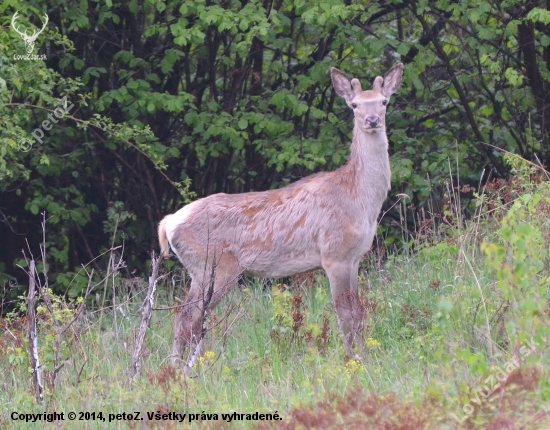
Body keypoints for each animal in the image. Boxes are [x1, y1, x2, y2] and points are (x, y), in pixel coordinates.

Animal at [160, 63, 406, 370]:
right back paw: (178, 370)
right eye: (355, 104)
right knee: (185, 317)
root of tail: (168, 223)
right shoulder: (334, 254)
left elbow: (358, 313)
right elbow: (345, 316)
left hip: (203, 269)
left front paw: (367, 354)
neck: (359, 199)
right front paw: (355, 359)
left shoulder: (355, 258)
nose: (372, 120)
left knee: (191, 318)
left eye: (384, 101)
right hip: (211, 266)